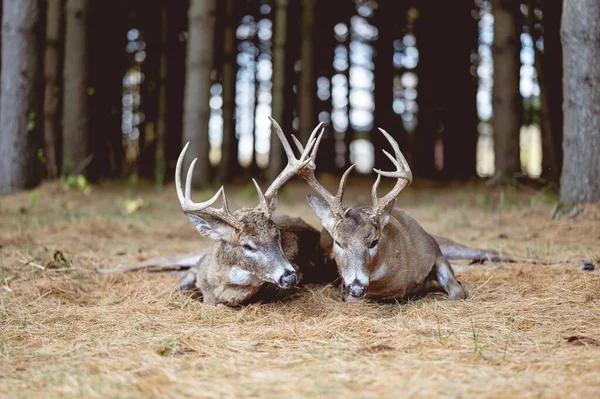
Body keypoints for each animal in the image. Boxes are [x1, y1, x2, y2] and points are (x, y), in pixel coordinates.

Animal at [170, 118, 338, 306]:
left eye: (277, 235)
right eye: (248, 246)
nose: (289, 277)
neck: (217, 286)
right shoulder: (196, 268)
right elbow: (180, 287)